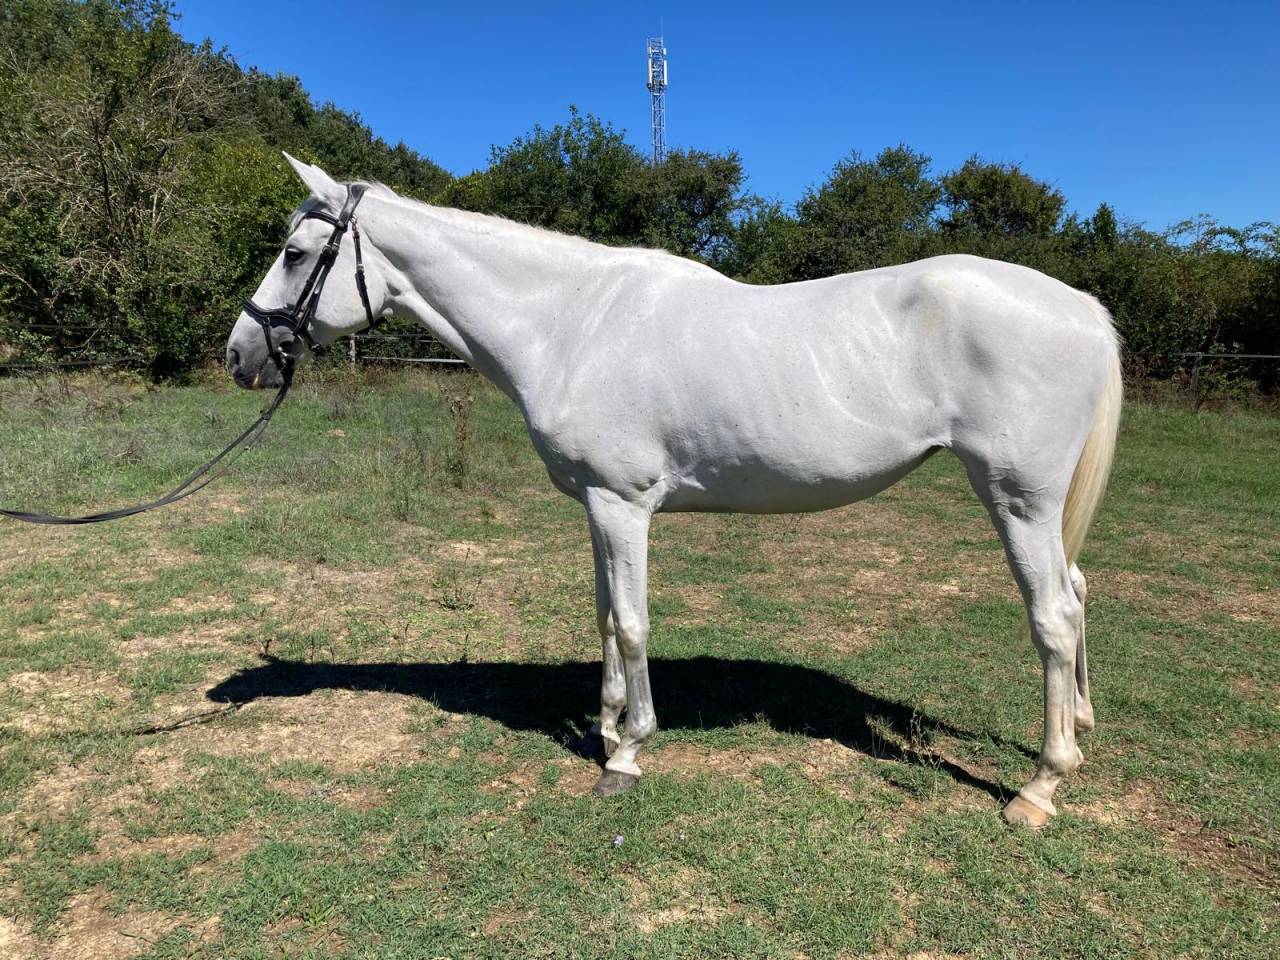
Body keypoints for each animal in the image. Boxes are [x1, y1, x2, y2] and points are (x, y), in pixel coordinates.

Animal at [226, 154, 1122, 828]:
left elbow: (630, 621)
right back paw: (1079, 727)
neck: (570, 324)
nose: (240, 354)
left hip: (1019, 502)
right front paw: (605, 725)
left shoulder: (623, 504)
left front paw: (627, 753)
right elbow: (602, 616)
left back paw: (1041, 786)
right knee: (1078, 593)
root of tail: (1081, 306)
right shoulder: (596, 506)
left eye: (298, 254)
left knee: (1053, 616)